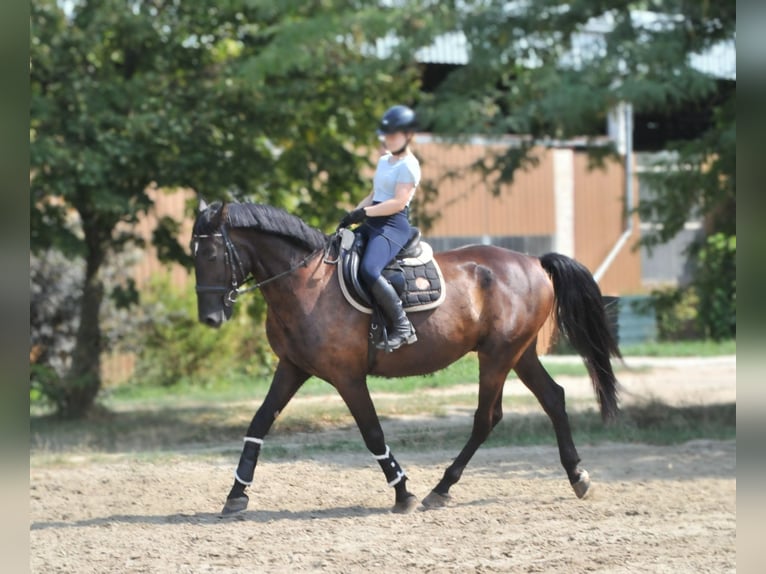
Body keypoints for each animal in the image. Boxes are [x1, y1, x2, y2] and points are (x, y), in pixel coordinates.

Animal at [192, 200, 624, 516]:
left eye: (211, 254)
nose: (210, 319)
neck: (303, 282)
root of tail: (534, 262)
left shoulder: (347, 377)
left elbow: (372, 433)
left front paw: (403, 493)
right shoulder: (293, 368)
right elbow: (259, 422)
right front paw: (236, 494)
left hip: (498, 355)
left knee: (487, 418)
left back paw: (441, 488)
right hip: (520, 353)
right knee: (553, 398)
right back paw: (578, 476)